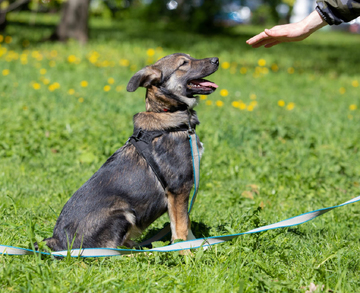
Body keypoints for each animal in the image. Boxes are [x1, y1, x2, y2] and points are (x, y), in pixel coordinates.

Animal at [40, 53, 218, 250]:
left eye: (191, 57)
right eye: (184, 63)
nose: (216, 60)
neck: (169, 112)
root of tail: (57, 240)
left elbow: (187, 224)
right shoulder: (178, 189)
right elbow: (180, 228)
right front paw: (184, 251)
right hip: (122, 211)